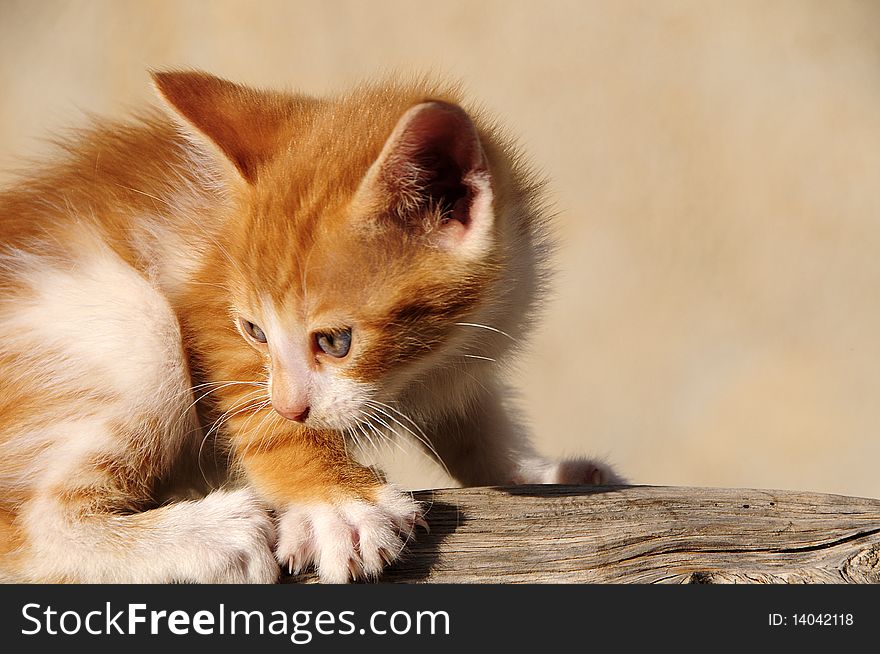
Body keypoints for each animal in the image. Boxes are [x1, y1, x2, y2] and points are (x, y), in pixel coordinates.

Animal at [0, 72, 624, 584]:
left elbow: (475, 421)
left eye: (335, 342)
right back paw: (212, 536)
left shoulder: (473, 342)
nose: (291, 406)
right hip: (128, 321)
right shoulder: (204, 299)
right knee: (28, 529)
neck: (428, 359)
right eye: (254, 331)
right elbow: (253, 409)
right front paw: (336, 503)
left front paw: (540, 472)